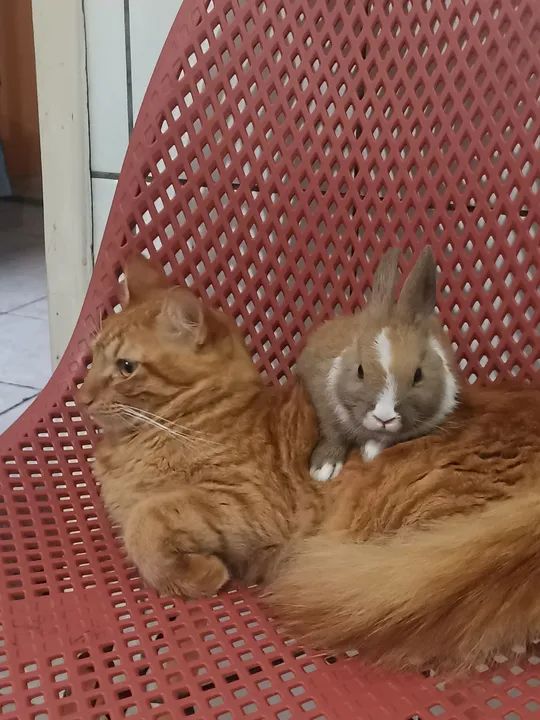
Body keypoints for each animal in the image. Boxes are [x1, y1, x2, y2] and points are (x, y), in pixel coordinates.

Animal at [296, 246, 459, 481]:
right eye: (360, 371)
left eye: (418, 375)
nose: (384, 417)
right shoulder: (324, 404)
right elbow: (332, 434)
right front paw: (323, 469)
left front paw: (370, 452)